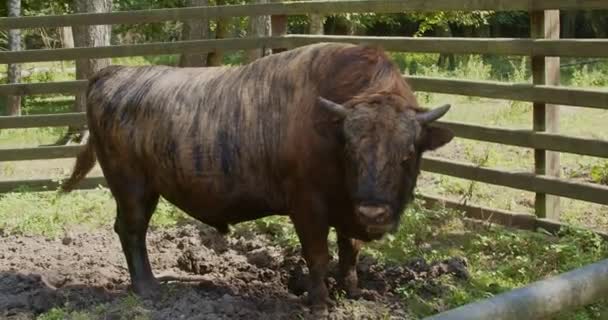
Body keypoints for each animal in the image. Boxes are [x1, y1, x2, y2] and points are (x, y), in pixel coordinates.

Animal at [60, 42, 452, 316]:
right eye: (352, 152)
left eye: (406, 155)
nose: (374, 213)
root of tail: (113, 72)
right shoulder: (308, 207)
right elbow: (318, 254)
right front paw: (320, 302)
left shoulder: (346, 209)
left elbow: (349, 250)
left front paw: (354, 291)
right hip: (132, 188)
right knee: (132, 230)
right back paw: (147, 287)